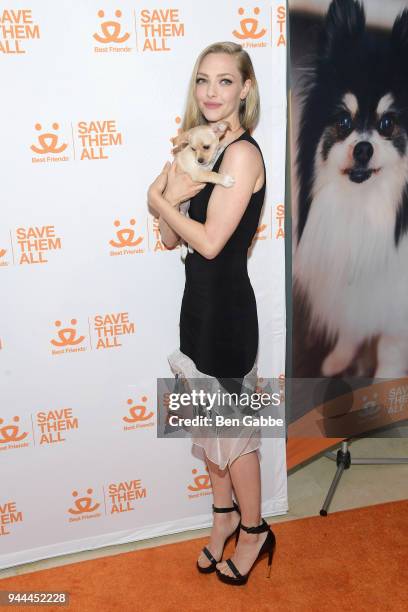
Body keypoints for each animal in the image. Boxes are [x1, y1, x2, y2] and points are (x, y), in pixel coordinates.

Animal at [294, 0, 408, 378]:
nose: (363, 149)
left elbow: (389, 351)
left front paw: (384, 381)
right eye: (344, 122)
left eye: (387, 124)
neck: (363, 208)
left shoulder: (395, 309)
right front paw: (337, 360)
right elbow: (350, 327)